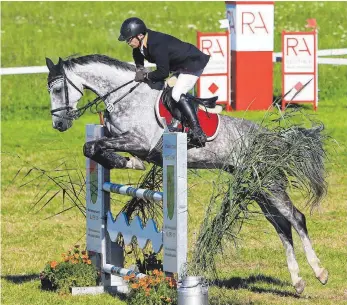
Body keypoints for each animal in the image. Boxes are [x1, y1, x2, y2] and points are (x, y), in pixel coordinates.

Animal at [45, 54, 328, 292]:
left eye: (58, 89)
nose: (58, 124)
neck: (126, 98)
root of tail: (270, 138)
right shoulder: (123, 140)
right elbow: (92, 147)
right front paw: (123, 162)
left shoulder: (140, 141)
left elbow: (95, 146)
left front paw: (122, 160)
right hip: (256, 187)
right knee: (281, 226)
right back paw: (298, 281)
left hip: (269, 184)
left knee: (296, 218)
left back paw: (320, 272)